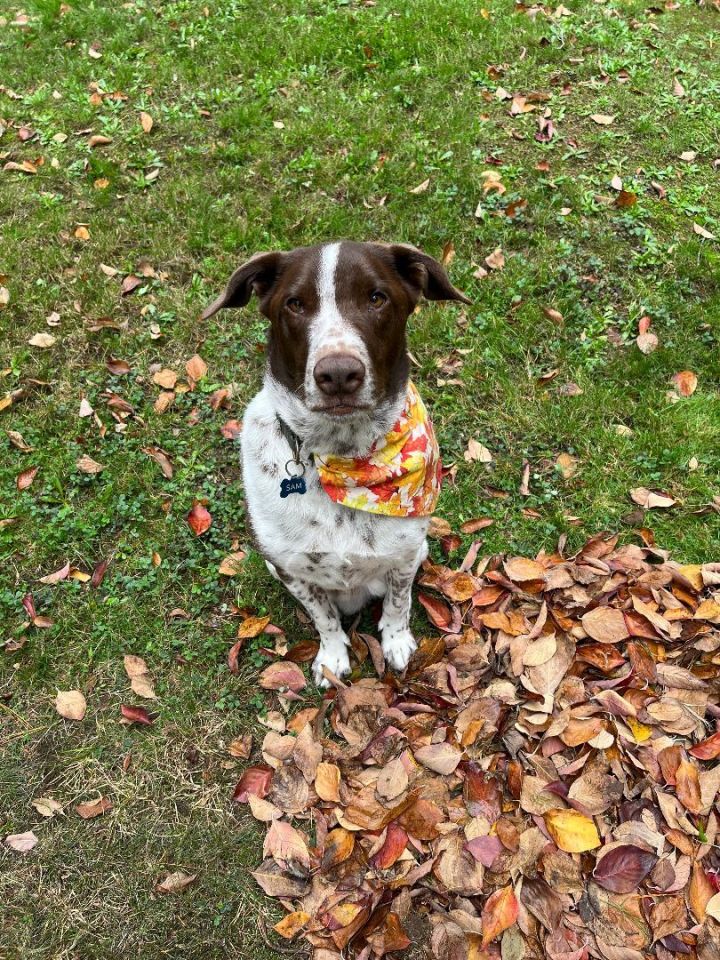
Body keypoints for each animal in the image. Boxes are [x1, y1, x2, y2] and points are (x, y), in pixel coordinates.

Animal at [205, 244, 470, 688]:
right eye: (295, 304)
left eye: (377, 298)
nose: (339, 373)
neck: (345, 457)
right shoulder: (291, 568)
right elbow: (324, 617)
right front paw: (332, 658)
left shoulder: (404, 555)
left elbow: (399, 602)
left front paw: (396, 642)